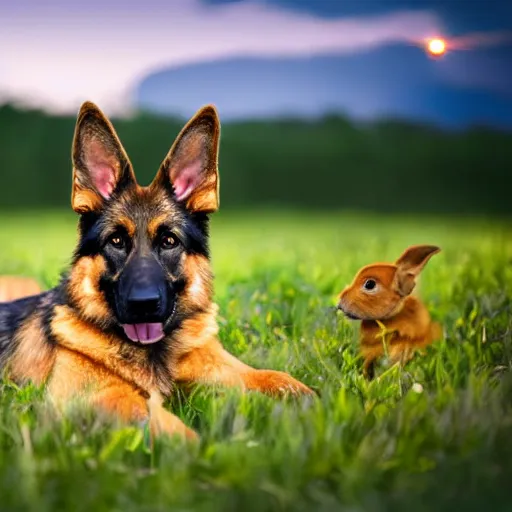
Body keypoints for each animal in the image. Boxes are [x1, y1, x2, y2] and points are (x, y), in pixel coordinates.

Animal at [0, 101, 314, 440]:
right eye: (116, 241)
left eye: (169, 241)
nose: (143, 305)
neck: (154, 354)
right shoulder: (87, 396)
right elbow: (152, 414)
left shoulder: (225, 369)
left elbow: (273, 377)